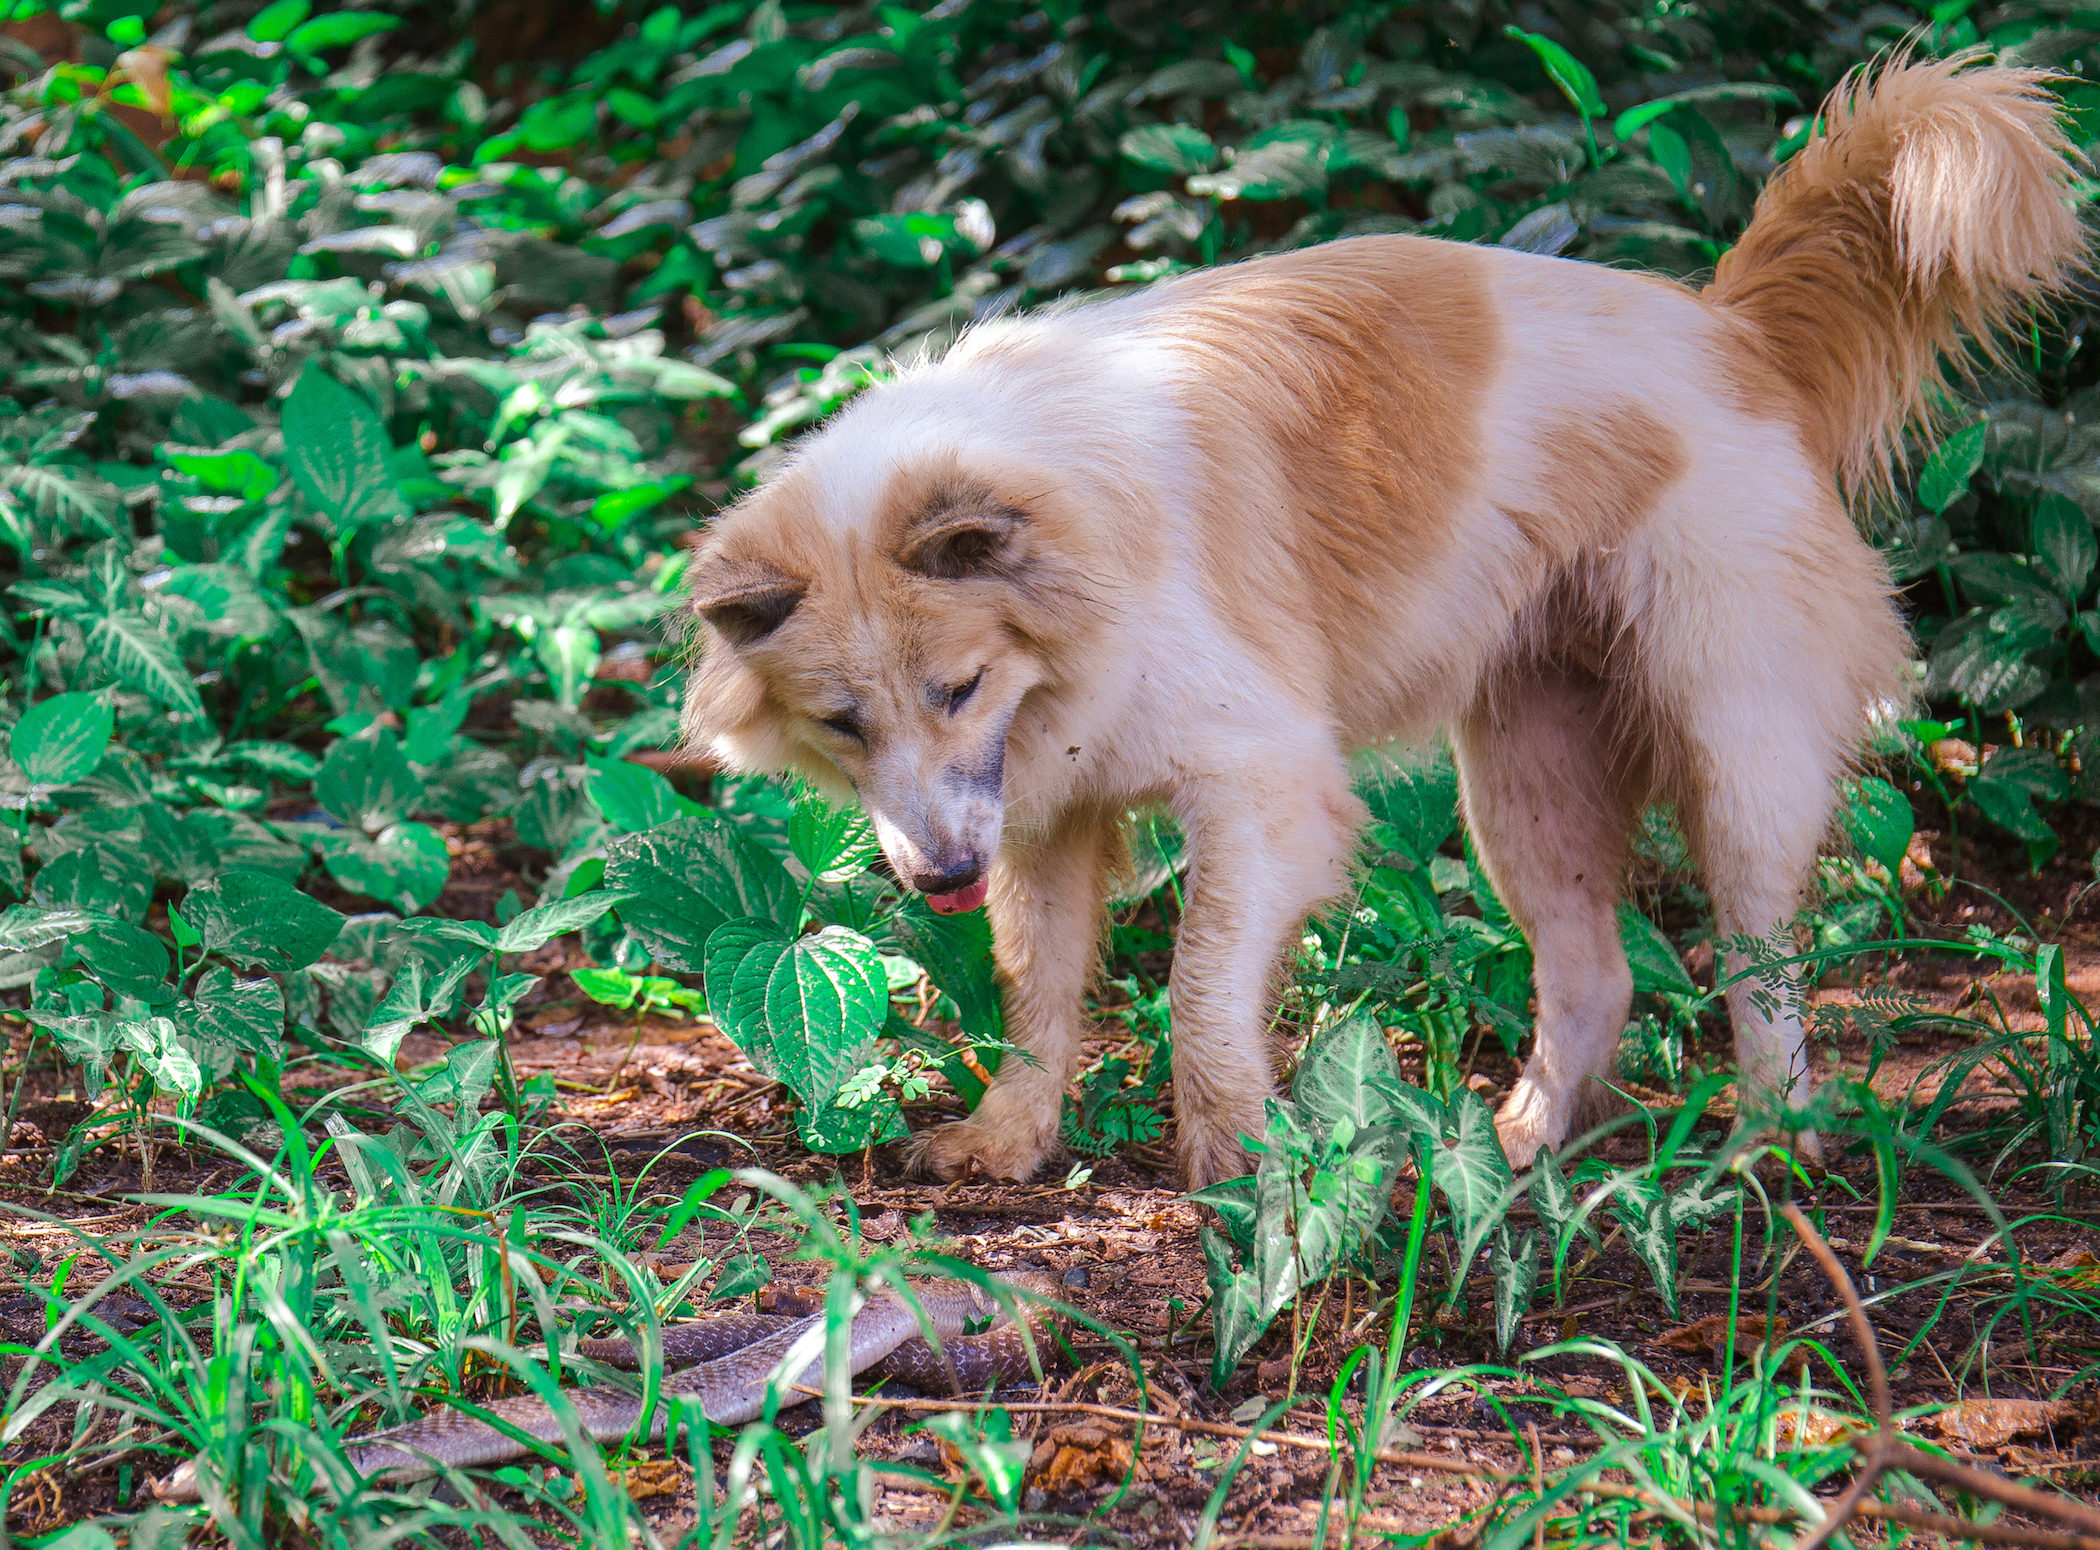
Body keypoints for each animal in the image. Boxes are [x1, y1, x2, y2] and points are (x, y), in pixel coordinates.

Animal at [684, 51, 2083, 1184]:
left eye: (960, 688)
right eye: (844, 723)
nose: (938, 880)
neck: (1076, 549)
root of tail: (1734, 329)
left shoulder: (1265, 787)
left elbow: (1199, 978)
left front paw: (1242, 1161)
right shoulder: (1042, 820)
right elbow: (1037, 993)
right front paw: (1010, 1138)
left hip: (1736, 754)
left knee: (1761, 960)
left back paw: (1766, 1145)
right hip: (1525, 787)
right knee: (1595, 972)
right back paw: (1521, 1142)